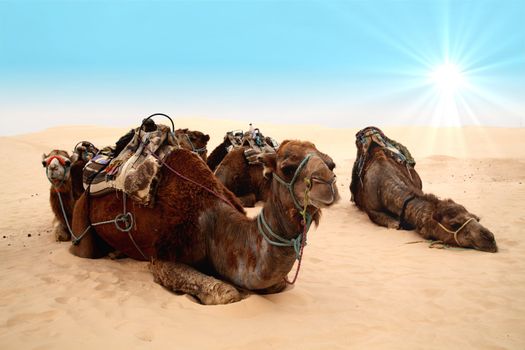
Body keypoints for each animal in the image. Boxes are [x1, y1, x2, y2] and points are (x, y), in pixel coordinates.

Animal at [70, 139, 340, 304]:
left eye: (330, 163)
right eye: (286, 167)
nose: (328, 184)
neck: (214, 226)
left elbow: (278, 284)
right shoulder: (163, 257)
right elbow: (227, 292)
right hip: (81, 216)